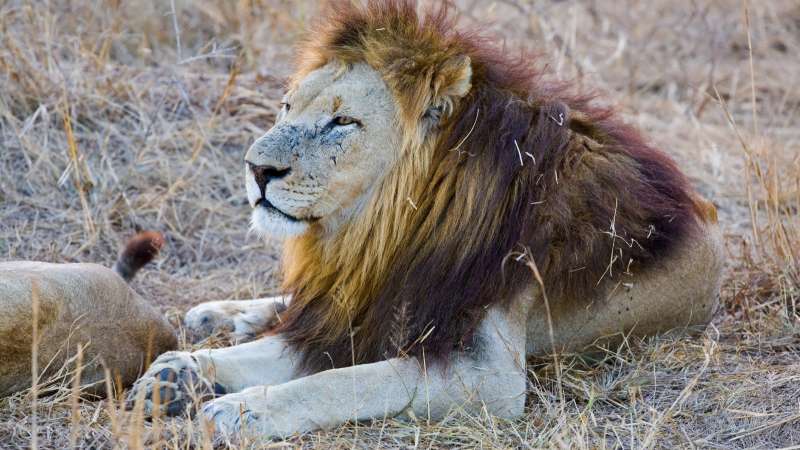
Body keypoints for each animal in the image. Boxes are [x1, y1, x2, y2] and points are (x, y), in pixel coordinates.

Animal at [128, 0, 724, 439]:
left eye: (343, 122)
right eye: (286, 107)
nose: (256, 170)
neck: (383, 233)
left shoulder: (489, 376)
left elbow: (347, 381)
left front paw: (244, 409)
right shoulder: (367, 310)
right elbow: (276, 351)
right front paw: (180, 373)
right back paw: (216, 317)